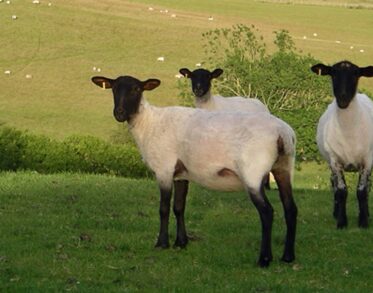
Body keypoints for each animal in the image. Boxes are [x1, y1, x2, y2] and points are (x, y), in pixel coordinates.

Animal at [91, 74, 296, 266]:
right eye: (114, 88)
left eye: (136, 89)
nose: (119, 113)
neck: (149, 123)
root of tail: (283, 133)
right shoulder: (181, 173)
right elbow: (179, 207)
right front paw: (181, 243)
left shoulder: (164, 169)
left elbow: (164, 208)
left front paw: (162, 243)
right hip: (283, 167)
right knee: (290, 208)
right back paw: (288, 257)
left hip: (253, 172)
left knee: (267, 212)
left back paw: (264, 259)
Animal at [310, 60, 372, 228]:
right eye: (333, 73)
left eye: (356, 74)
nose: (343, 100)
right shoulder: (335, 161)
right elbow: (341, 191)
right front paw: (342, 222)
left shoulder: (367, 161)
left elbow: (362, 191)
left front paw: (363, 222)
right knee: (333, 184)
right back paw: (335, 212)